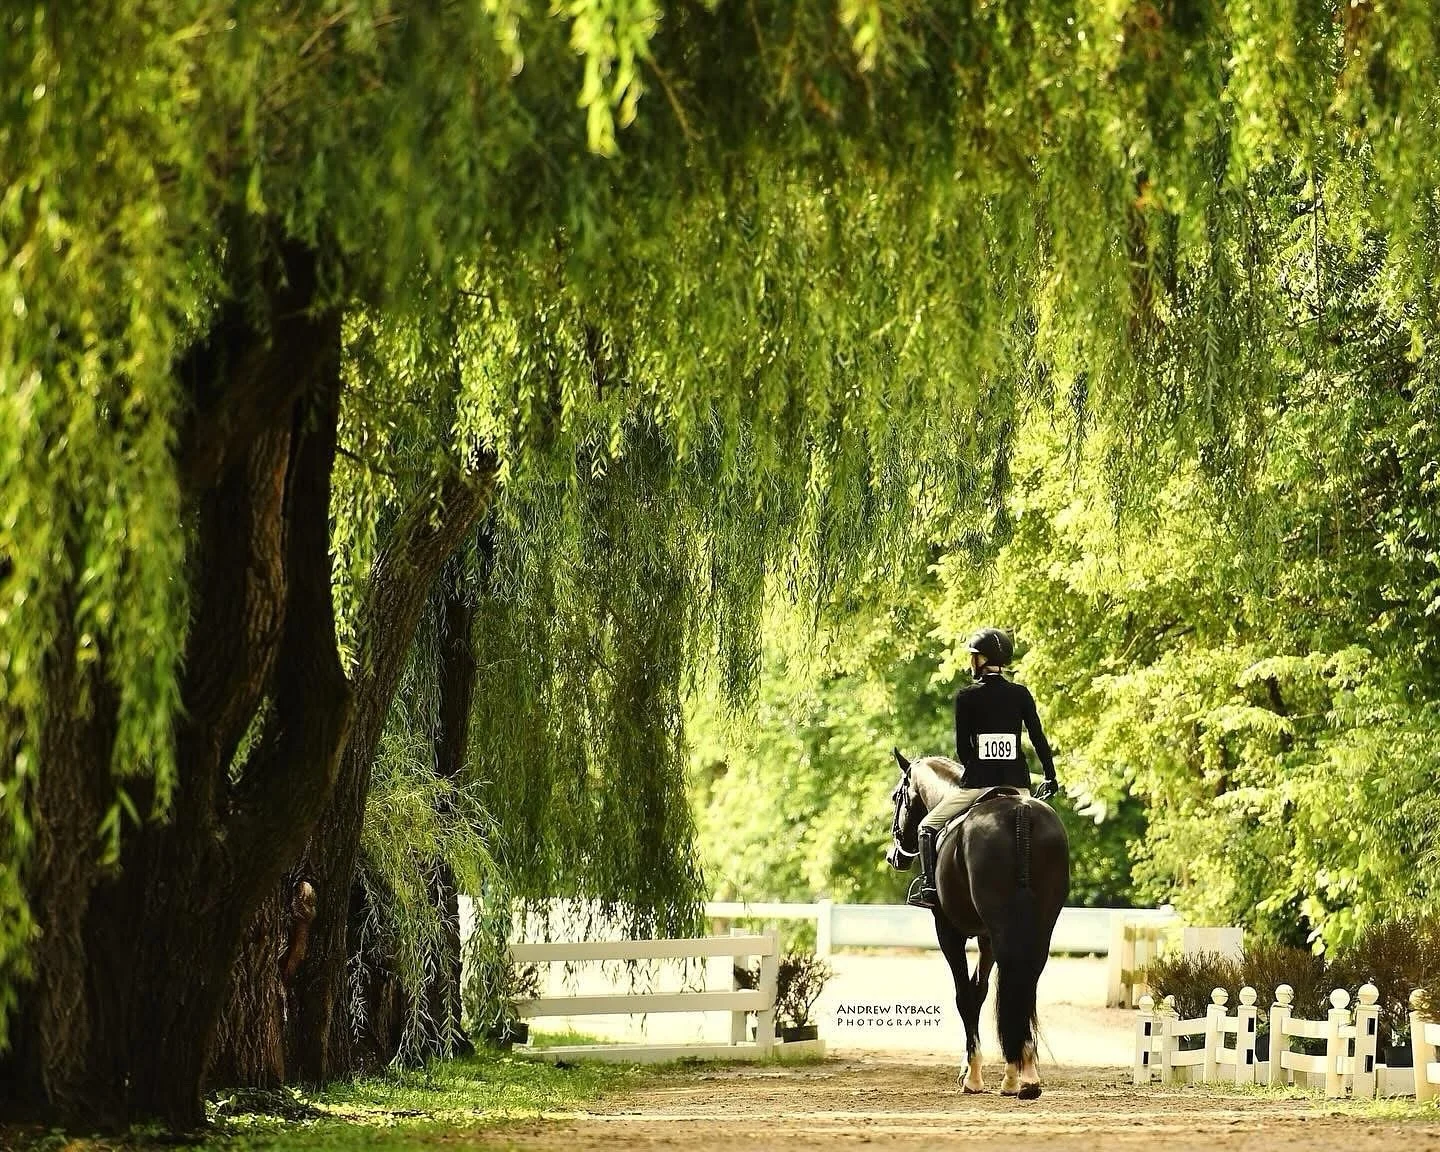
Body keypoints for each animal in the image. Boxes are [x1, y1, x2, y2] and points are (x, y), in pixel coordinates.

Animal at [885, 750, 1069, 1099]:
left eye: (896, 797)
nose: (893, 857)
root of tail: (1021, 811)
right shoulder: (986, 939)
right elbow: (982, 990)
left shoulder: (948, 932)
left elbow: (964, 995)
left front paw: (972, 1074)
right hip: (1039, 929)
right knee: (1024, 984)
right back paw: (1024, 1075)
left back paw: (1018, 1076)